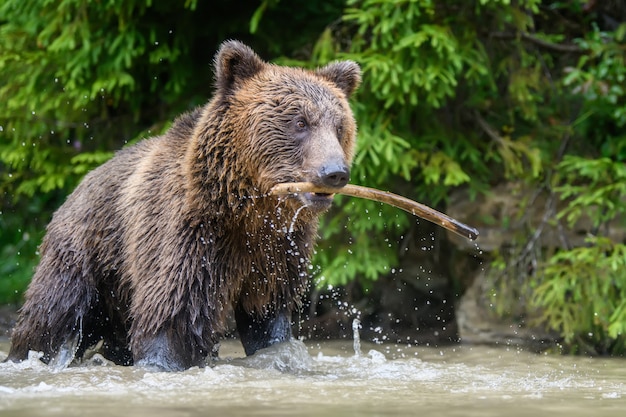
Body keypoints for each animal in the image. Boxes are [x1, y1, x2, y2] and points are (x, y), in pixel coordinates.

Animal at [7, 39, 360, 370]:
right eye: (300, 122)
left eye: (339, 126)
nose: (334, 172)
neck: (247, 209)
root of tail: (80, 183)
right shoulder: (187, 235)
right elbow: (171, 312)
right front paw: (164, 359)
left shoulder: (277, 250)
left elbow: (267, 318)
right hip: (86, 254)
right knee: (51, 316)